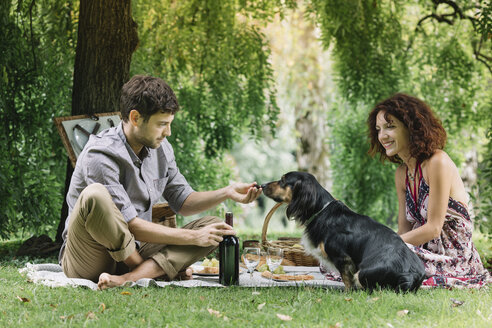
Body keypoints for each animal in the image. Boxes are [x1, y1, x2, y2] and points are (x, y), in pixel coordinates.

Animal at [262, 172, 426, 292]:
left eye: (283, 180)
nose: (262, 185)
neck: (322, 211)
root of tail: (410, 274)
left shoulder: (342, 258)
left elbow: (347, 279)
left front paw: (348, 294)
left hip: (362, 273)